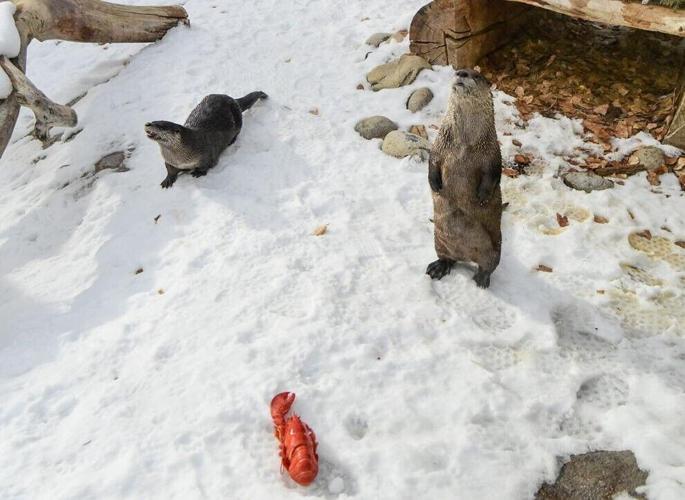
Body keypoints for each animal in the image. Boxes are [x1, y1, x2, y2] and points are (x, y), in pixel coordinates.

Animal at [426, 69, 502, 288]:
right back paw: (439, 267)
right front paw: (435, 185)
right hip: (439, 240)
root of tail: (466, 256)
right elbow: (432, 163)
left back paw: (482, 278)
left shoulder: (492, 155)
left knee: (489, 265)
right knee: (446, 257)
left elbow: (494, 174)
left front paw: (482, 197)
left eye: (476, 75)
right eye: (458, 70)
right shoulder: (439, 145)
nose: (461, 72)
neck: (465, 144)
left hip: (495, 248)